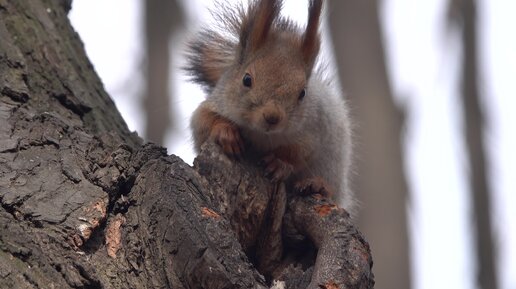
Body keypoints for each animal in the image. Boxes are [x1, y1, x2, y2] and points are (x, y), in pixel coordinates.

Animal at [183, 0, 352, 212]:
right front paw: (226, 133)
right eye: (246, 79)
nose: (272, 117)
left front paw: (279, 162)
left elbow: (300, 151)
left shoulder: (315, 128)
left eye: (303, 93)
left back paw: (317, 185)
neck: (262, 135)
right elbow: (202, 122)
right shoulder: (216, 104)